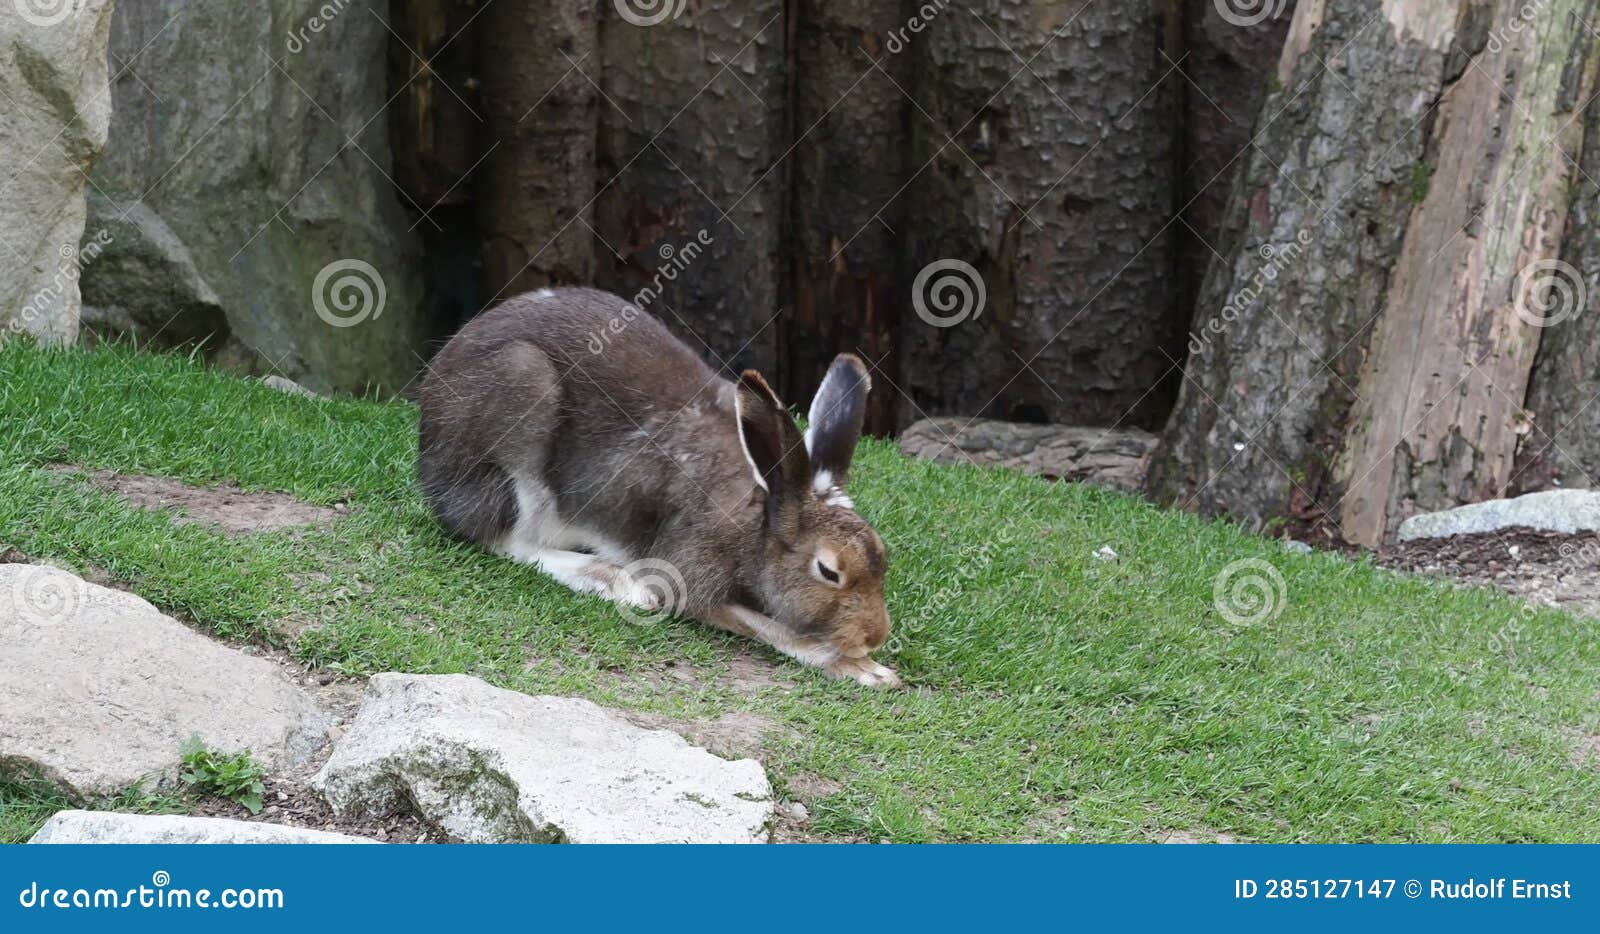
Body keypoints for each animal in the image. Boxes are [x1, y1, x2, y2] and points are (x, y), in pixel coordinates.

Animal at [418, 286, 900, 687]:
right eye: (828, 571)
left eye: (882, 559)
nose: (874, 636)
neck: (754, 522)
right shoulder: (691, 569)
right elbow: (772, 629)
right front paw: (866, 670)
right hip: (519, 409)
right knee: (504, 537)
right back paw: (619, 583)